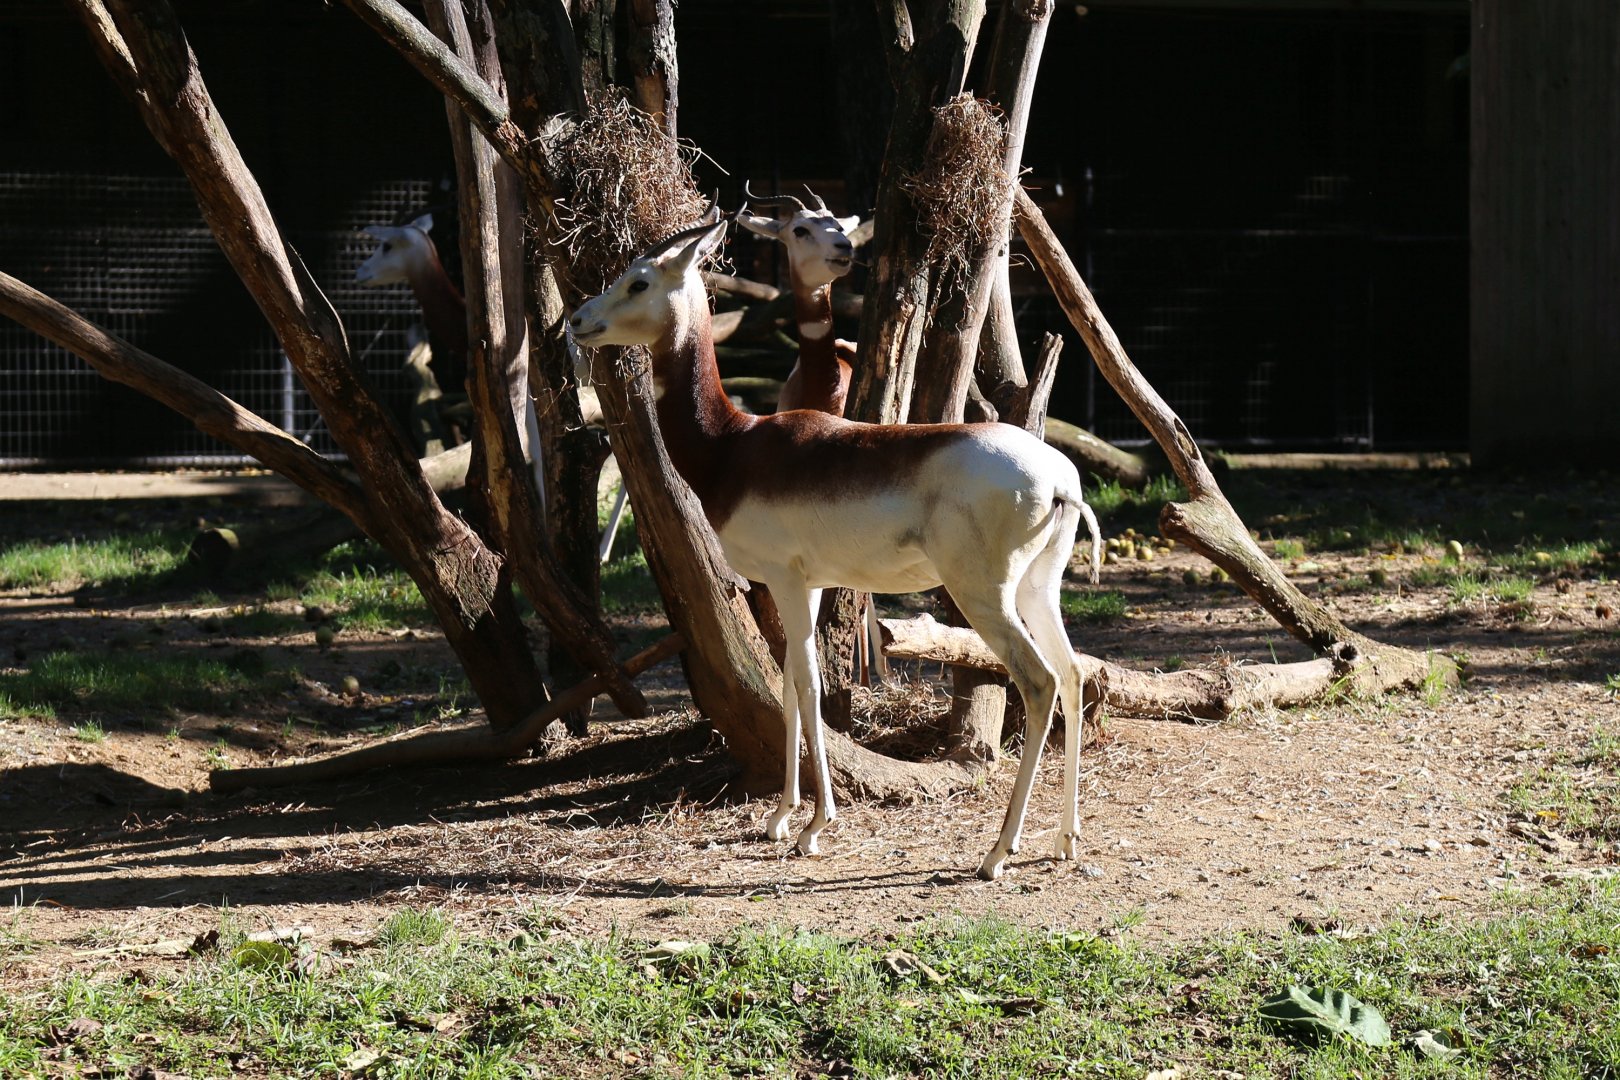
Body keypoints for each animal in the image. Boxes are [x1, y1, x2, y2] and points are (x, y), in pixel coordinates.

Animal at [568, 217, 1102, 880]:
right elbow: (792, 683)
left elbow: (808, 684)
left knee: (1039, 681)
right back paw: (1066, 839)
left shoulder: (784, 579)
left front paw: (814, 827)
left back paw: (997, 852)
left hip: (984, 594)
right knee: (1074, 674)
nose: (578, 319)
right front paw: (780, 819)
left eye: (638, 280)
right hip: (1037, 589)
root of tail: (1058, 480)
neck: (731, 446)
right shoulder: (812, 581)